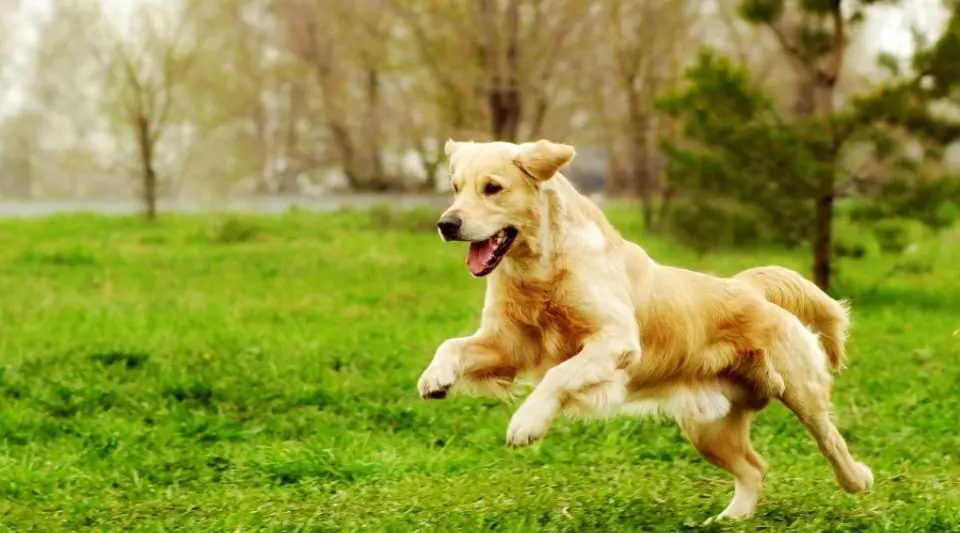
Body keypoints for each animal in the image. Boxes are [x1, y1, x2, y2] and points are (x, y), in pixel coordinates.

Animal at [416, 139, 872, 520]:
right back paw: (730, 519)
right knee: (754, 469)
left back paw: (857, 480)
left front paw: (526, 423)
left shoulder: (614, 341)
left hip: (800, 390)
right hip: (708, 427)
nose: (446, 224)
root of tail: (747, 286)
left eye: (492, 187)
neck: (541, 268)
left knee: (830, 441)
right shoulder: (510, 343)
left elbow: (558, 375)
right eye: (455, 187)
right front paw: (435, 378)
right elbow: (452, 344)